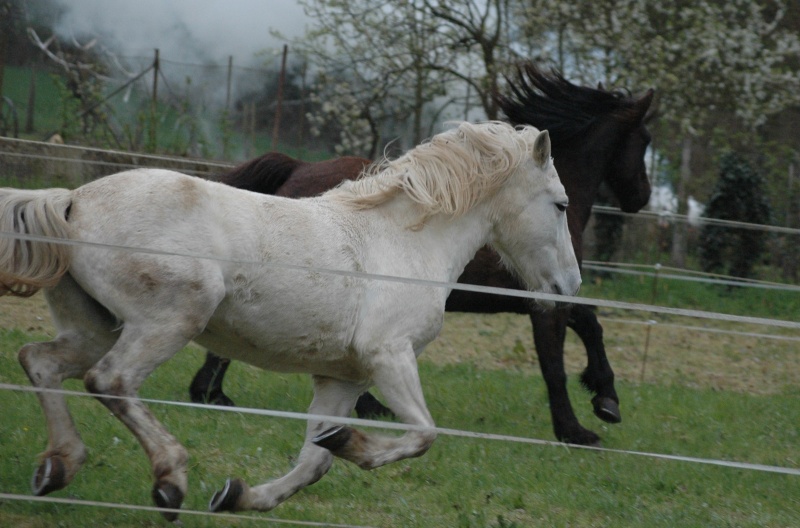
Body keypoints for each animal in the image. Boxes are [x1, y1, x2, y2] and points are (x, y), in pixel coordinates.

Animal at [0, 120, 580, 520]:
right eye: (560, 204)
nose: (569, 288)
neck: (403, 242)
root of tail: (73, 200)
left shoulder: (343, 378)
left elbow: (314, 461)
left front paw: (238, 495)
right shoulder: (389, 357)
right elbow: (423, 435)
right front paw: (352, 446)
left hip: (95, 327)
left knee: (40, 362)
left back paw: (57, 466)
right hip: (170, 319)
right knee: (110, 381)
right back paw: (169, 480)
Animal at [191, 65, 652, 446]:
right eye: (645, 141)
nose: (641, 197)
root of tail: (297, 166)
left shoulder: (546, 292)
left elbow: (586, 326)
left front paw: (600, 401)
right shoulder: (542, 300)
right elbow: (563, 355)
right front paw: (582, 422)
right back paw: (215, 394)